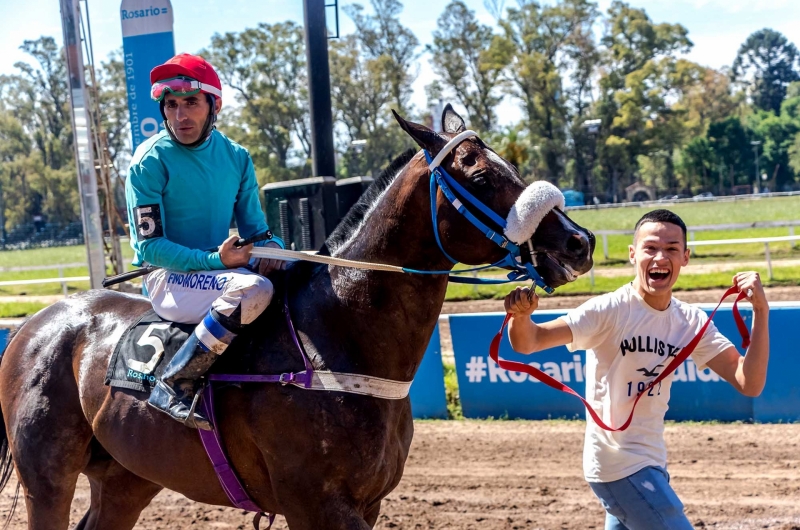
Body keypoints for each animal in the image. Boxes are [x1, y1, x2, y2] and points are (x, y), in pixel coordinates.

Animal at [0, 105, 592, 524]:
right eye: (480, 177)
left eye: (511, 166)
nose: (578, 241)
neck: (334, 341)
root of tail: (35, 323)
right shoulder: (317, 504)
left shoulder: (367, 503)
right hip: (47, 477)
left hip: (128, 475)